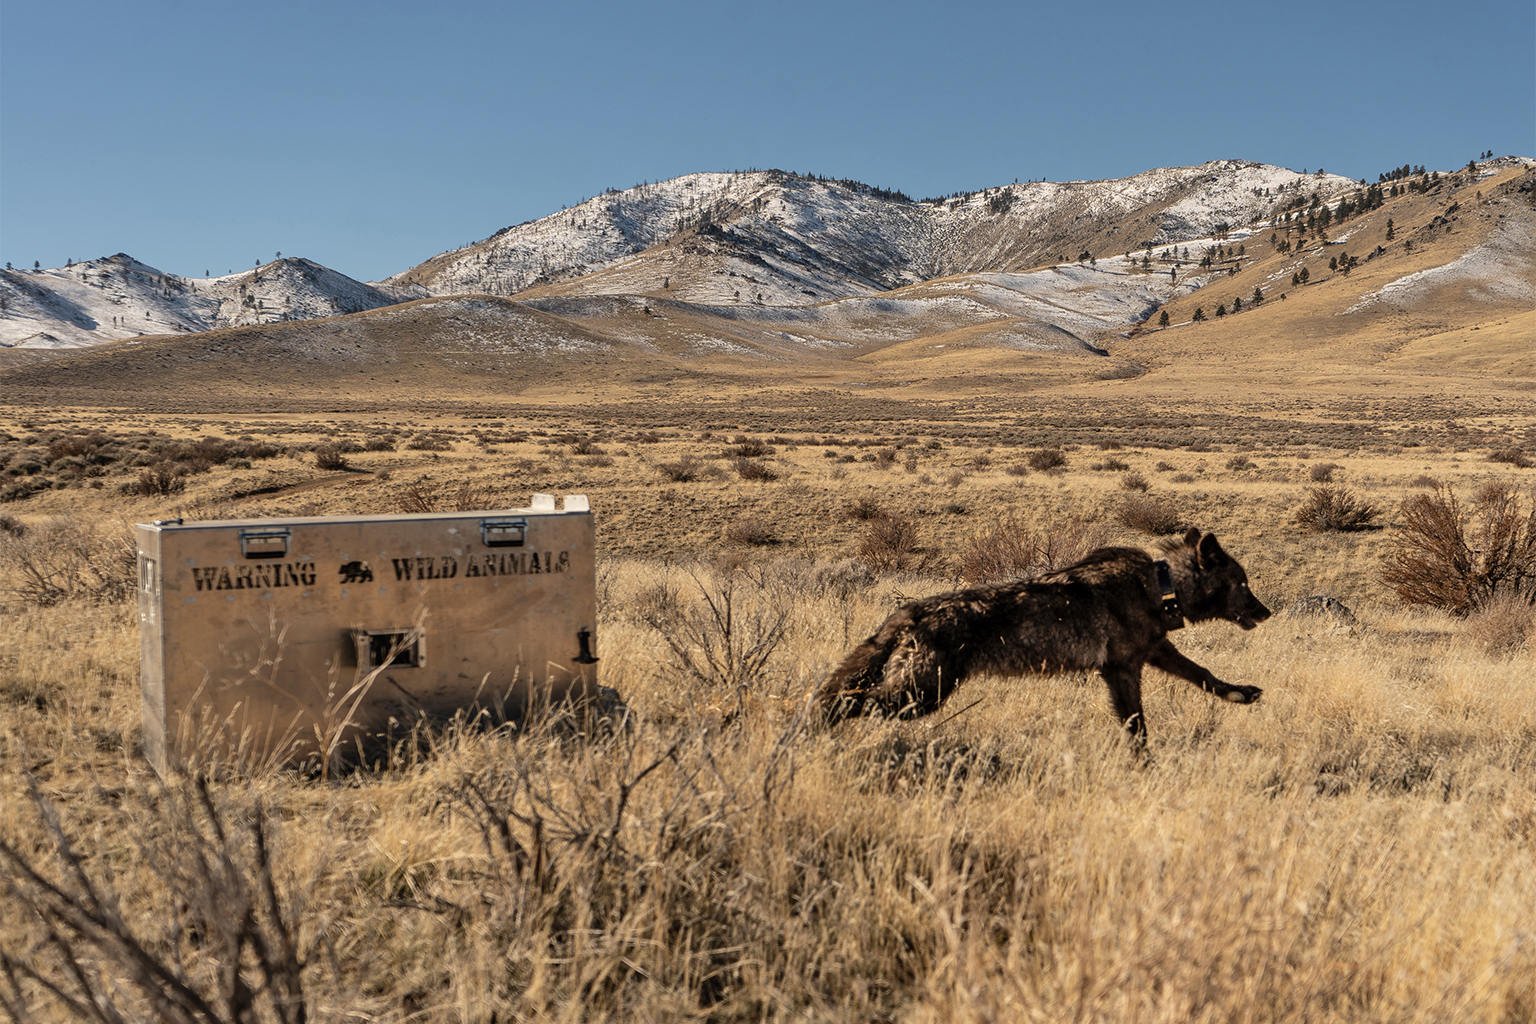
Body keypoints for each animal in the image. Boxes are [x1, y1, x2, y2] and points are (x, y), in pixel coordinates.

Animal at [816, 528, 1271, 744]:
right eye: (1244, 585)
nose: (1267, 612)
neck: (1159, 586)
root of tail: (908, 612)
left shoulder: (1152, 652)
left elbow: (1203, 674)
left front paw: (1239, 693)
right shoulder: (1123, 670)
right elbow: (1137, 727)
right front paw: (1145, 768)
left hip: (917, 693)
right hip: (920, 695)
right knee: (844, 701)